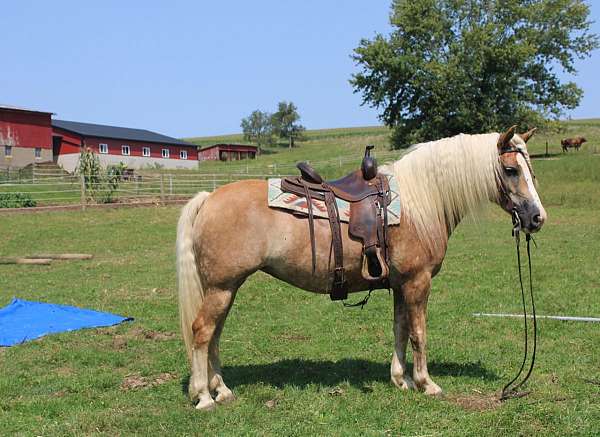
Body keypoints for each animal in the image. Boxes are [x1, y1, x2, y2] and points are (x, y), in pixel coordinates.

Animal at [176, 125, 548, 408]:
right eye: (511, 170)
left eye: (531, 170)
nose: (537, 218)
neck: (419, 201)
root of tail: (208, 199)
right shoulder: (418, 282)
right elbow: (418, 332)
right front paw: (426, 383)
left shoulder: (400, 284)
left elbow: (400, 329)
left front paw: (400, 380)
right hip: (221, 288)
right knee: (203, 332)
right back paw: (204, 396)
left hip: (225, 288)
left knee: (215, 334)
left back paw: (222, 390)